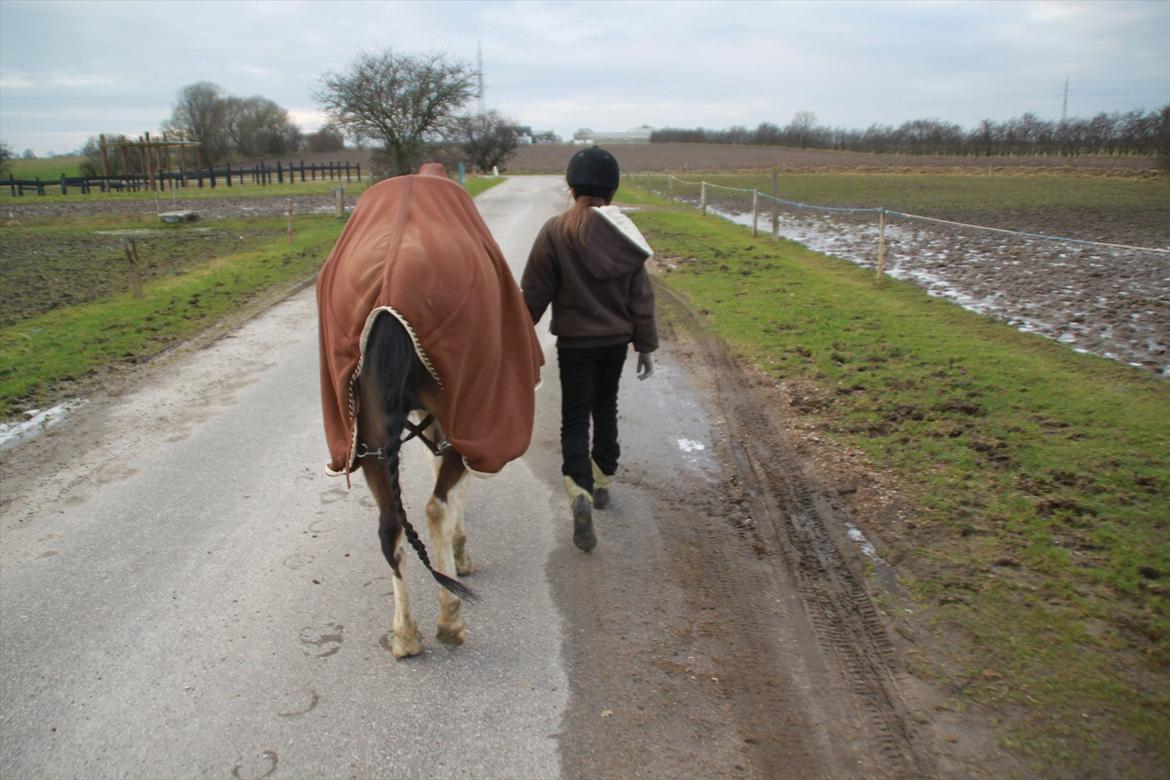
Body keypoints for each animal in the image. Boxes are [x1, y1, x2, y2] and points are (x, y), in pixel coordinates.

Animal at [315, 163, 542, 659]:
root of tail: (388, 295)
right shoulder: (466, 423)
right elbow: (451, 491)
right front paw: (459, 553)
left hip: (369, 436)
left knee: (390, 528)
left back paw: (406, 635)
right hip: (462, 412)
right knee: (435, 506)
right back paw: (449, 619)